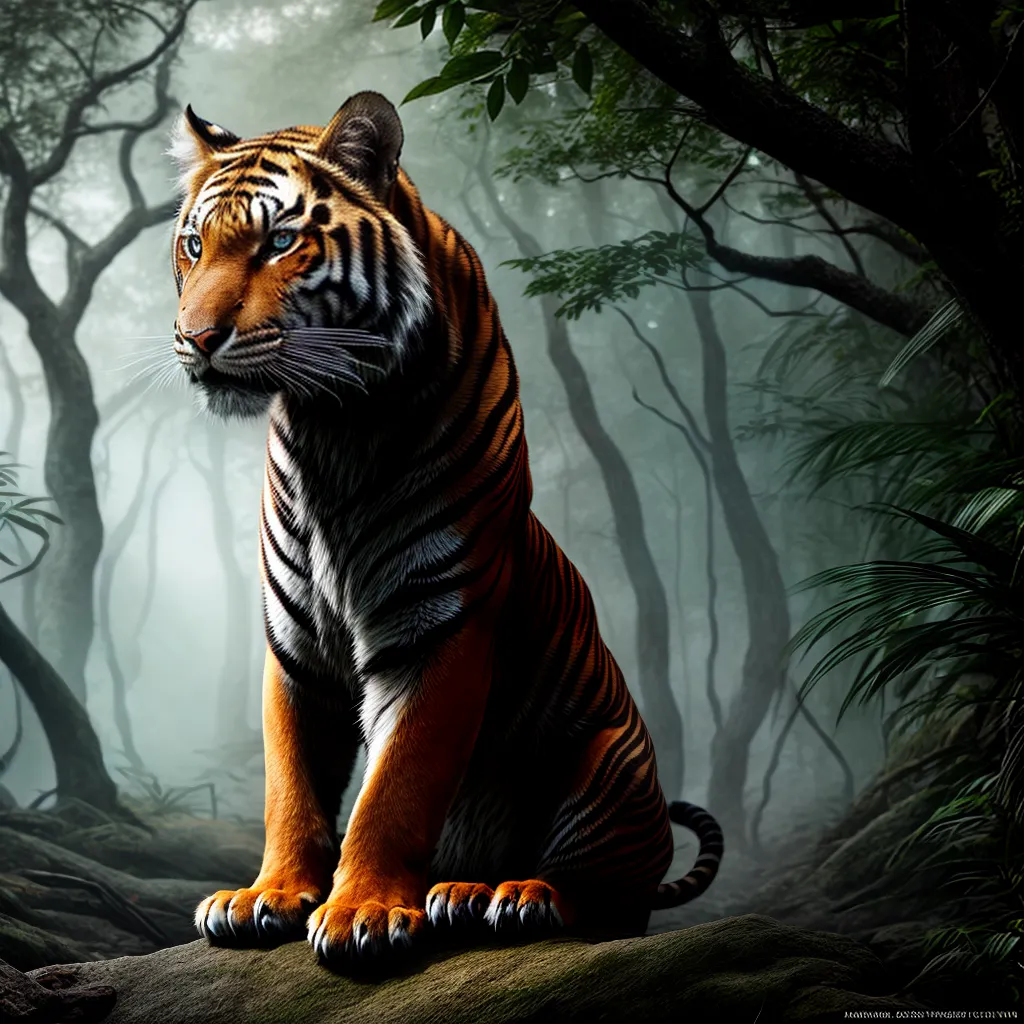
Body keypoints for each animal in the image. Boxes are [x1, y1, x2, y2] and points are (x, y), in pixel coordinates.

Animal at [167, 90, 723, 969]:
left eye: (280, 242)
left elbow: (398, 783)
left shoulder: (444, 626)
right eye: (194, 246)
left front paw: (363, 913)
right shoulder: (294, 645)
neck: (336, 430)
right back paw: (462, 889)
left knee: (601, 899)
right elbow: (292, 783)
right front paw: (266, 898)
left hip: (608, 765)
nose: (195, 339)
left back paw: (512, 896)